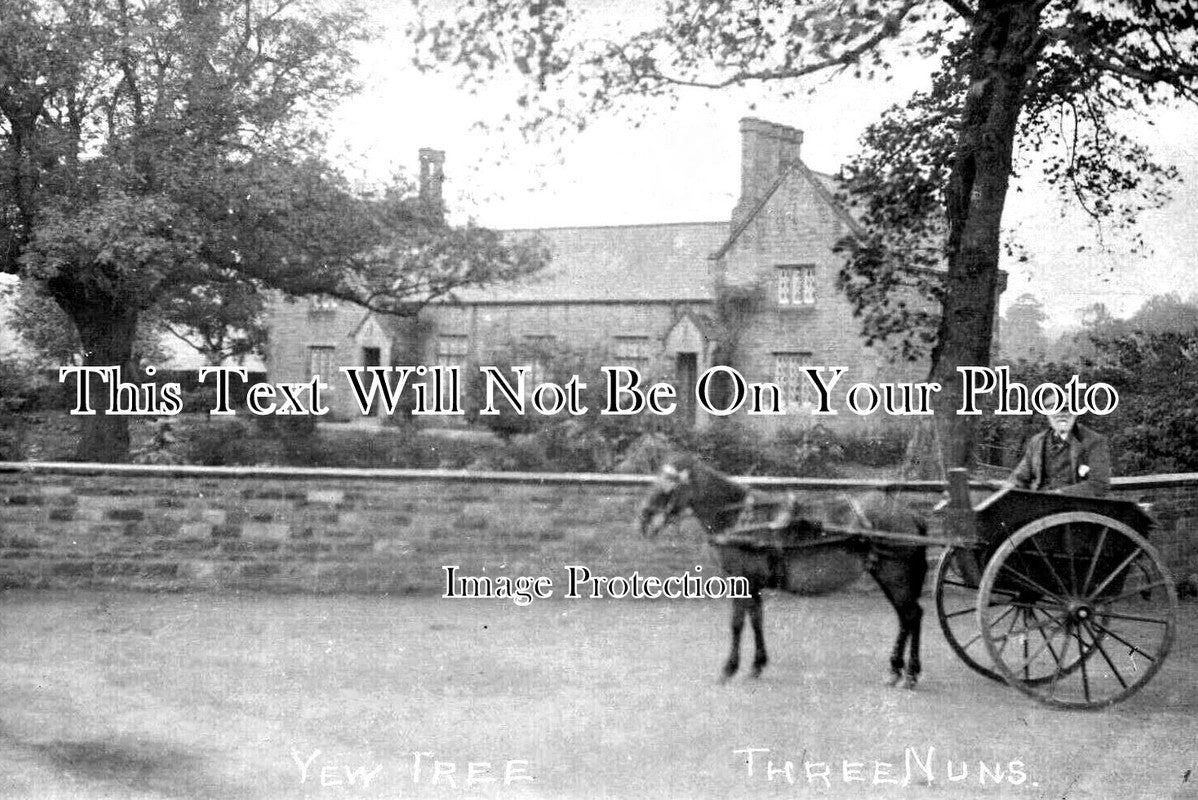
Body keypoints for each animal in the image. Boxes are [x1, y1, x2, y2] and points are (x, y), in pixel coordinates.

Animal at [642, 455, 929, 689]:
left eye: (668, 486)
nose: (644, 518)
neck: (740, 517)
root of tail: (910, 513)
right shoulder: (752, 583)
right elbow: (756, 618)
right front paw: (757, 664)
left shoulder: (740, 581)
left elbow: (737, 623)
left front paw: (729, 668)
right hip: (888, 576)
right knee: (905, 617)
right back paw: (896, 670)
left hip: (895, 575)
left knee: (912, 615)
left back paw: (910, 674)